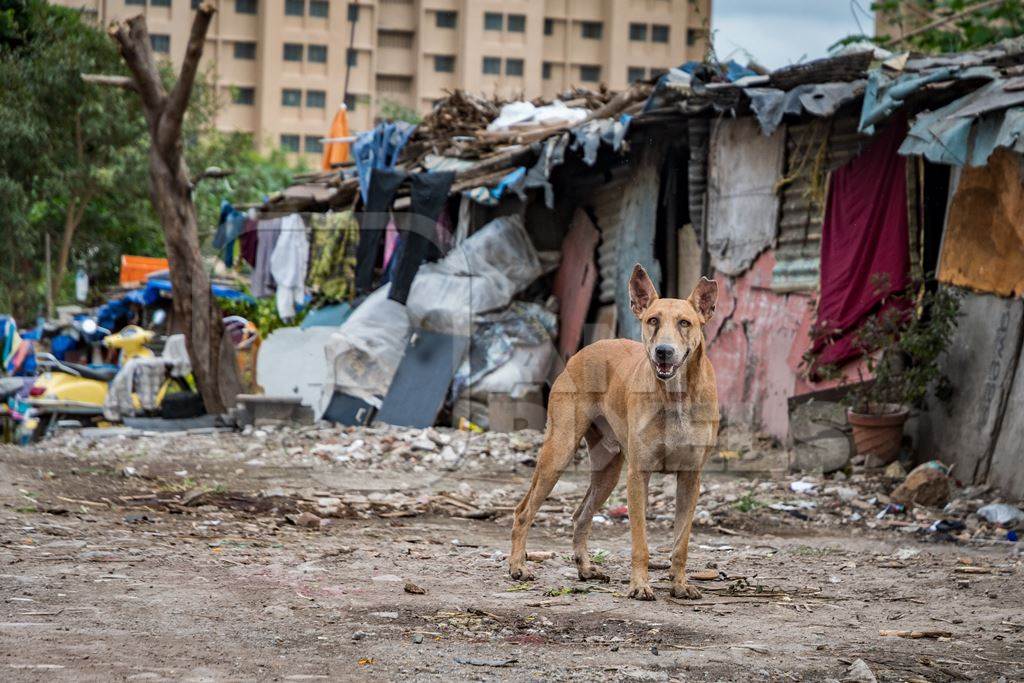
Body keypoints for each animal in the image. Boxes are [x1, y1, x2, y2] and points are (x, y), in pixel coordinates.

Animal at [509, 264, 720, 602]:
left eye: (685, 323)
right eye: (653, 320)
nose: (663, 352)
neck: (676, 395)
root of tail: (584, 350)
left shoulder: (691, 478)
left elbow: (681, 543)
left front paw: (679, 583)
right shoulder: (638, 475)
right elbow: (640, 542)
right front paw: (640, 585)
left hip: (607, 471)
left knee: (580, 515)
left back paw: (585, 568)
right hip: (558, 452)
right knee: (524, 511)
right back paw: (518, 566)